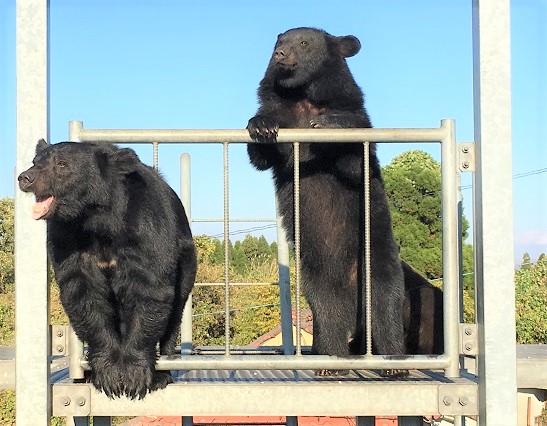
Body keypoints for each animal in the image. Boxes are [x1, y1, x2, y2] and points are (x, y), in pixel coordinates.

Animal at [18, 141, 197, 400]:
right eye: (35, 161)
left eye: (61, 164)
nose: (25, 178)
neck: (95, 217)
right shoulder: (68, 238)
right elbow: (83, 291)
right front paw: (107, 373)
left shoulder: (145, 227)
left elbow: (149, 287)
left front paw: (134, 374)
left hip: (185, 262)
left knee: (174, 313)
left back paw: (163, 373)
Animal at [247, 27, 406, 372]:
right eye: (279, 42)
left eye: (303, 42)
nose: (281, 55)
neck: (304, 96)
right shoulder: (284, 120)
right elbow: (262, 155)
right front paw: (260, 126)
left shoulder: (355, 118)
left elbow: (355, 156)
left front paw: (328, 124)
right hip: (316, 271)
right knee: (327, 308)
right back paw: (330, 358)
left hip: (376, 252)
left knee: (386, 300)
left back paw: (392, 358)